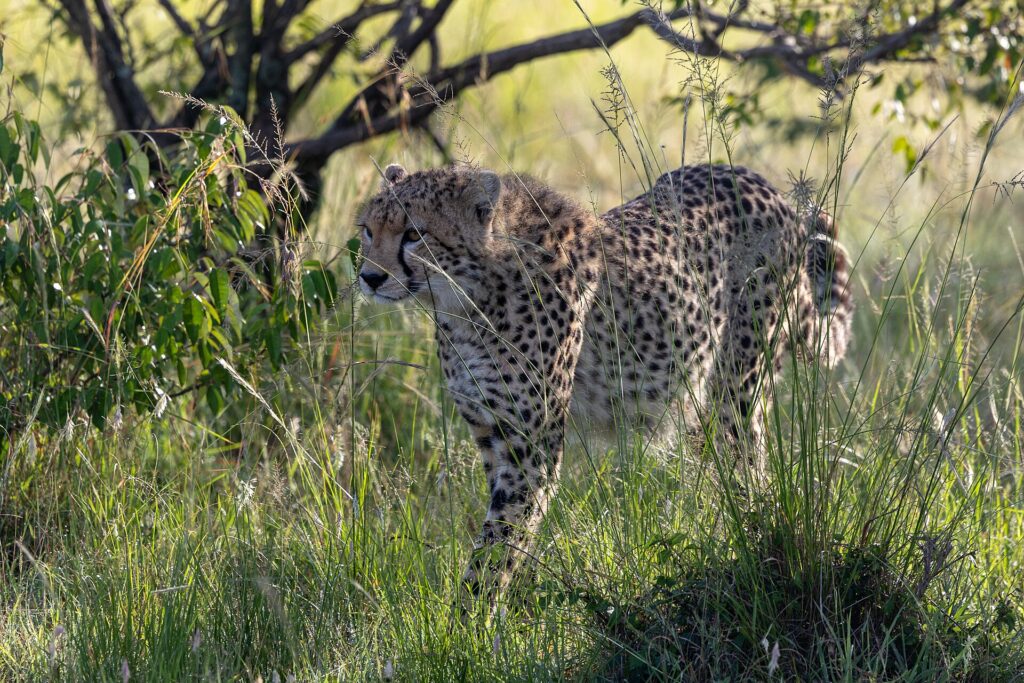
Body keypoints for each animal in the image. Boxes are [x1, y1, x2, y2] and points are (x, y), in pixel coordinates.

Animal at [356, 162, 853, 607]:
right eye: (367, 231)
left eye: (414, 234)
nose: (369, 277)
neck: (466, 298)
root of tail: (761, 183)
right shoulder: (493, 435)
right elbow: (507, 531)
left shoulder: (531, 449)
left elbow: (500, 541)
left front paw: (471, 622)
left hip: (736, 391)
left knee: (749, 470)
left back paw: (749, 546)